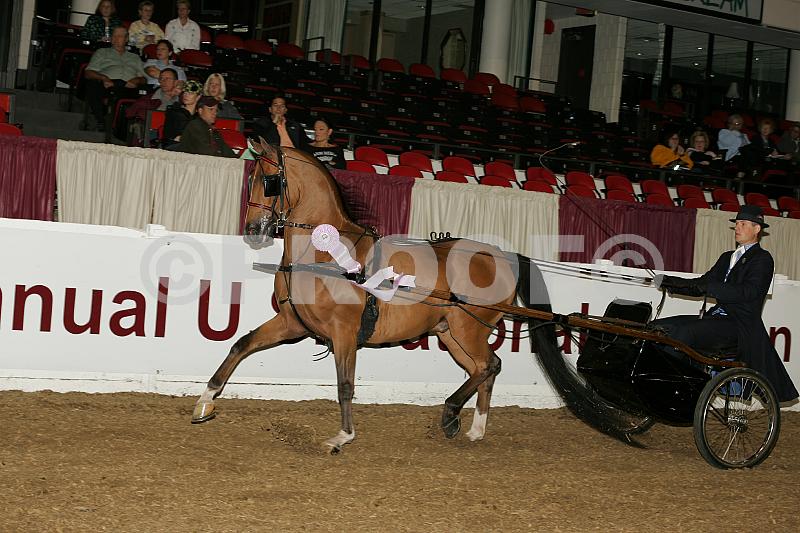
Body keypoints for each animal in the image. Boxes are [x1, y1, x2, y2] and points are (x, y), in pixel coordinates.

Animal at [191, 141, 635, 452]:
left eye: (269, 181)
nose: (253, 230)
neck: (324, 255)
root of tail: (503, 255)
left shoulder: (344, 333)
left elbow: (345, 384)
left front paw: (342, 437)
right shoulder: (291, 323)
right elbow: (242, 344)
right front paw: (205, 403)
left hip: (468, 329)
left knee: (489, 365)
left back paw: (457, 417)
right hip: (450, 334)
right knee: (484, 369)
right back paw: (470, 426)